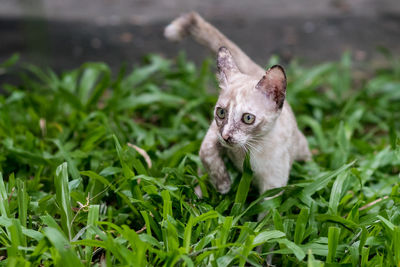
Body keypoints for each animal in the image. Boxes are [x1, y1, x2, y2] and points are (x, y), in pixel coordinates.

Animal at [164, 12, 310, 195]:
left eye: (248, 118)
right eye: (221, 113)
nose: (226, 136)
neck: (247, 151)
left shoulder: (274, 183)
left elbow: (265, 203)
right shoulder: (214, 132)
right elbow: (206, 152)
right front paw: (223, 184)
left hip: (302, 149)